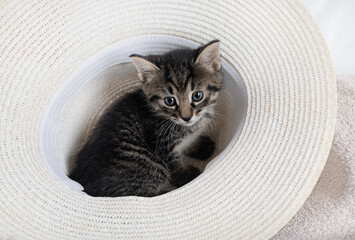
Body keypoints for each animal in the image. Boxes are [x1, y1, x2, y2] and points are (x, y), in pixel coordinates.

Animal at [69, 39, 224, 197]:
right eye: (170, 101)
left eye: (197, 95)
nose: (186, 117)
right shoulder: (163, 147)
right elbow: (174, 168)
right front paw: (188, 176)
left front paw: (200, 146)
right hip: (151, 167)